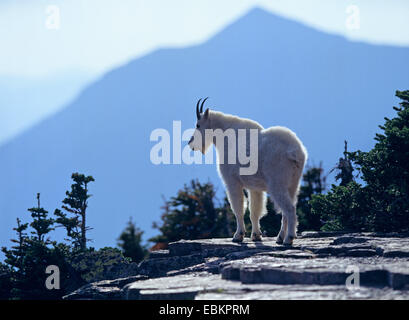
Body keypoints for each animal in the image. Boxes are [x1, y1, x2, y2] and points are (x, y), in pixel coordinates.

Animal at [188, 97, 306, 245]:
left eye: (198, 125)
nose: (190, 144)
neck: (225, 137)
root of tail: (294, 152)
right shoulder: (254, 187)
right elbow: (255, 210)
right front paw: (256, 235)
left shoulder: (232, 181)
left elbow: (238, 208)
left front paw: (238, 236)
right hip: (293, 184)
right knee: (287, 208)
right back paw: (280, 238)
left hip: (277, 183)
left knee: (289, 209)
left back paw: (288, 238)